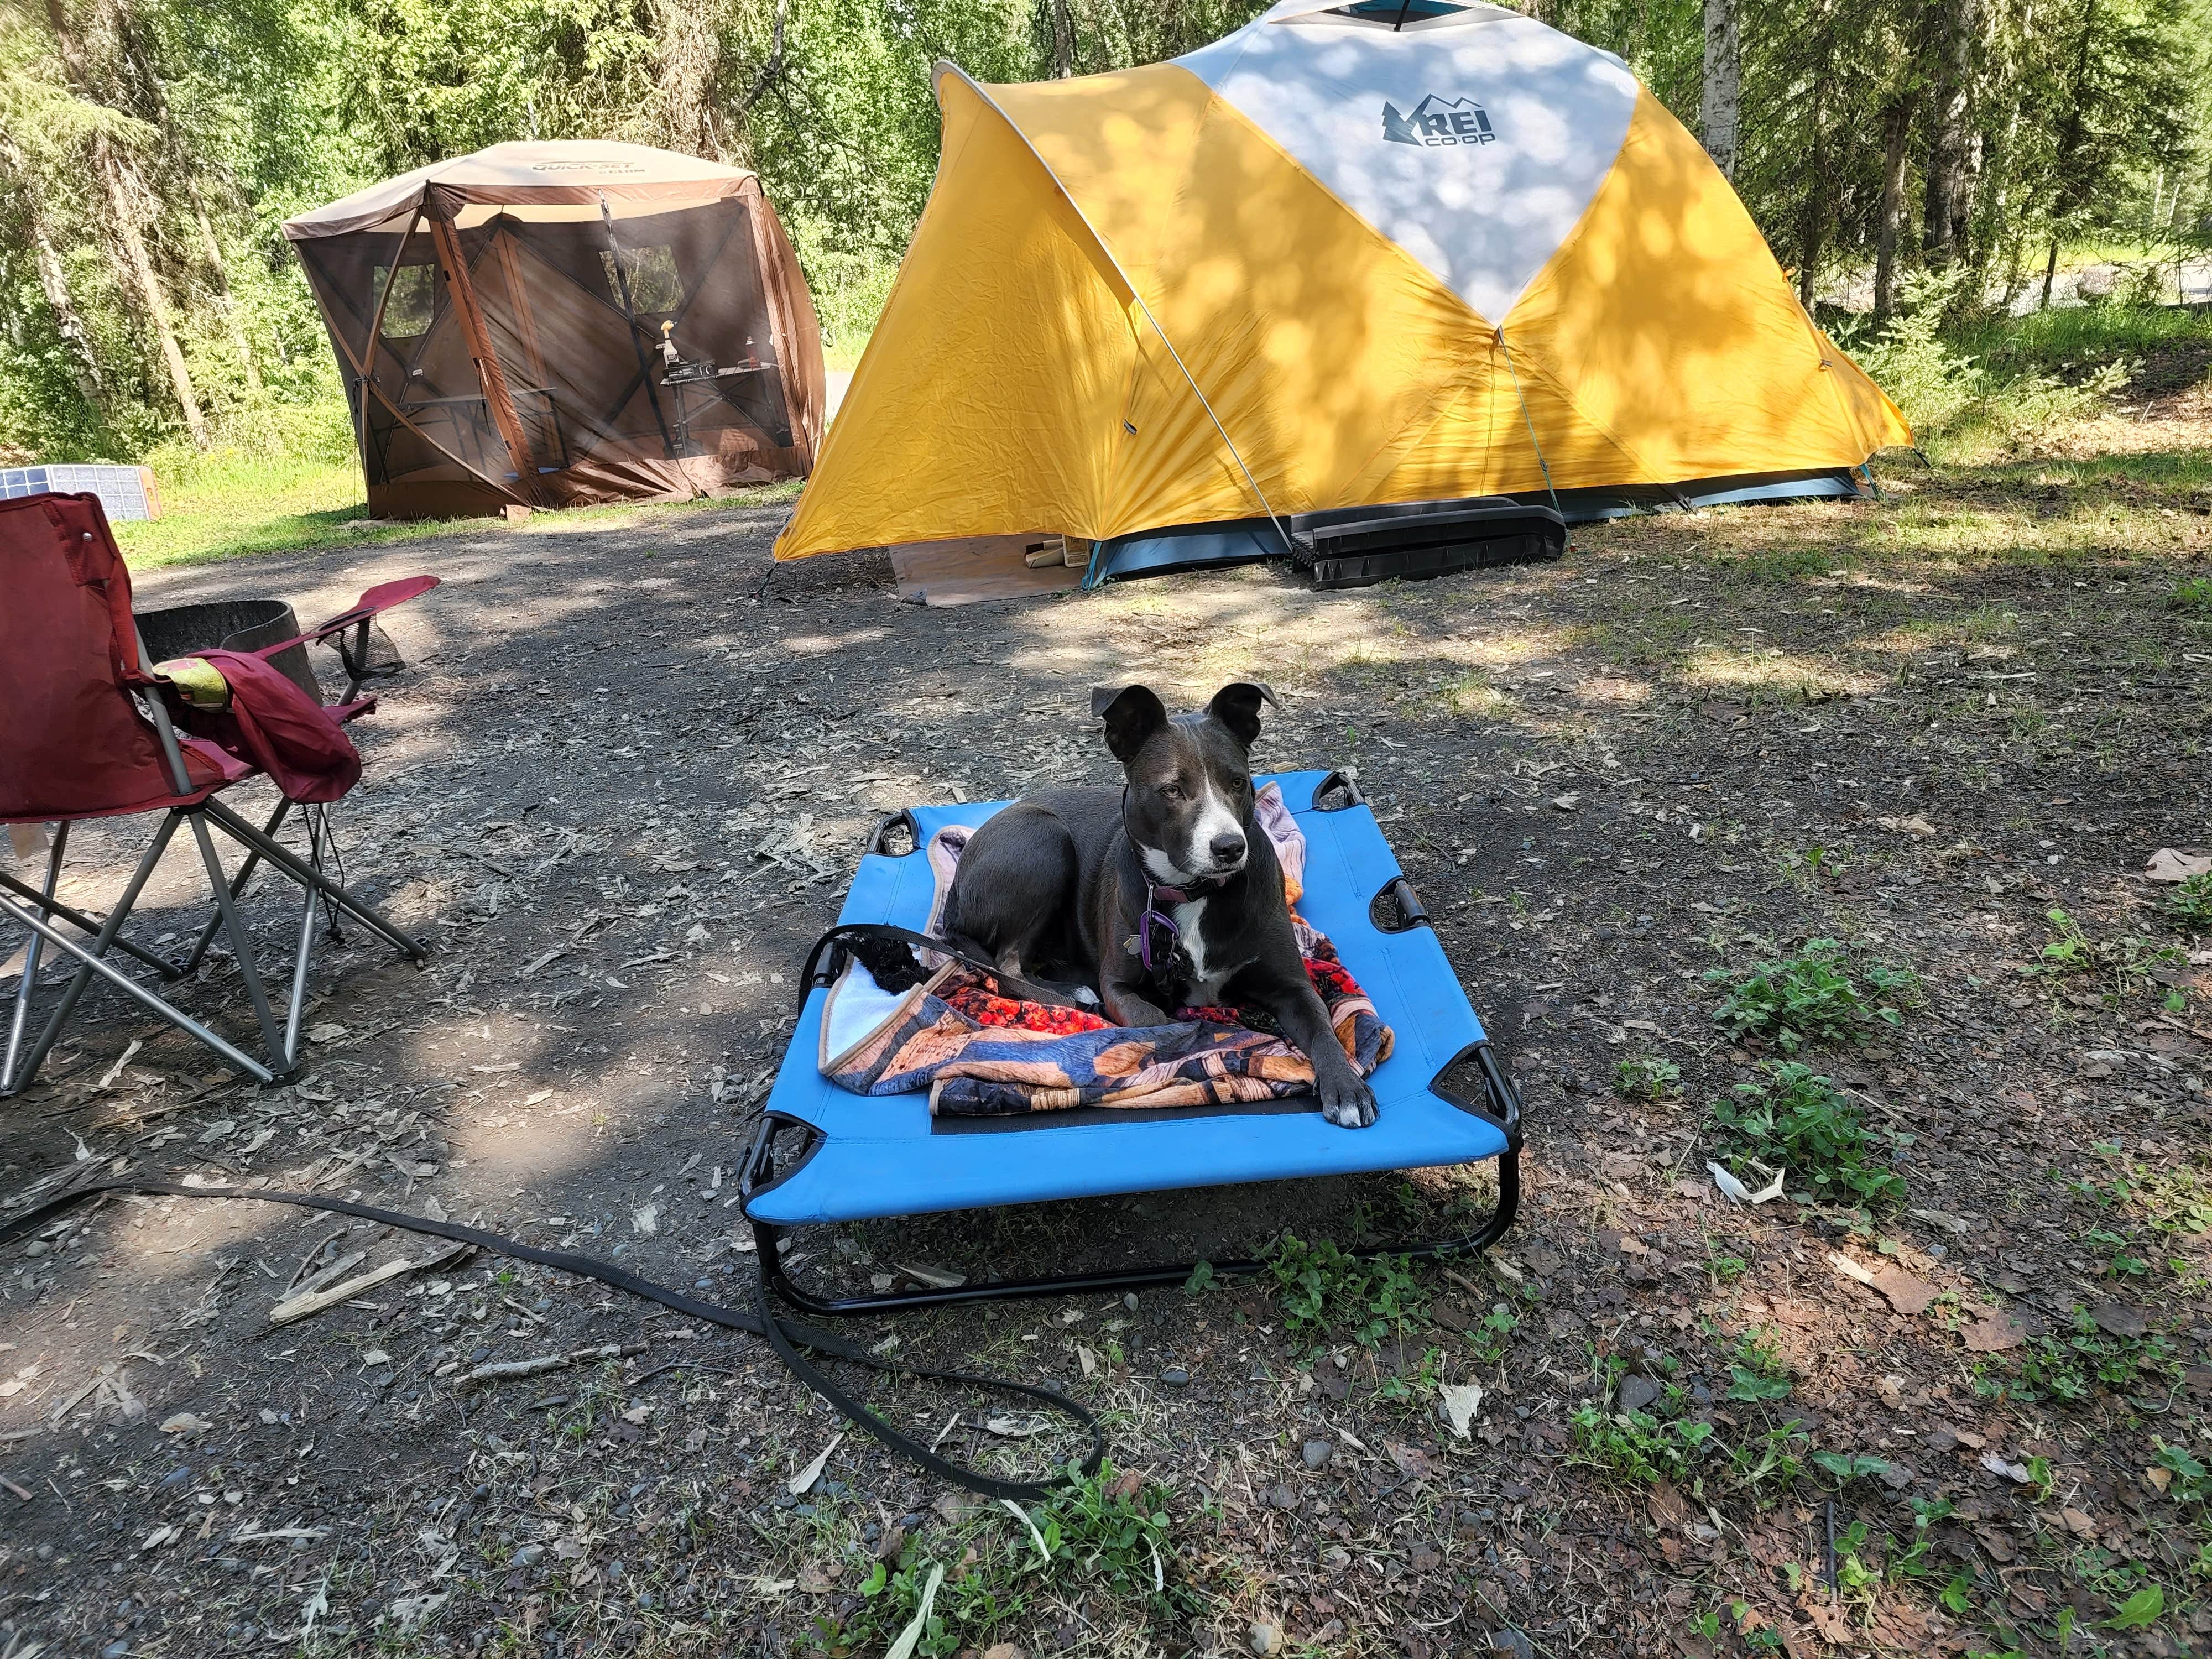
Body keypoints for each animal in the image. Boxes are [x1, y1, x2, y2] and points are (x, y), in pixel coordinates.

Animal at [938, 686, 1380, 1133]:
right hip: (1044, 838)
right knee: (1009, 967)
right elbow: (1156, 1024)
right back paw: (1072, 994)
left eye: (1238, 782)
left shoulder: (1293, 987)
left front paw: (1346, 1087)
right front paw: (1191, 1038)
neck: (1191, 892)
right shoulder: (1119, 986)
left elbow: (1322, 1027)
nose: (1230, 848)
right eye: (1172, 790)